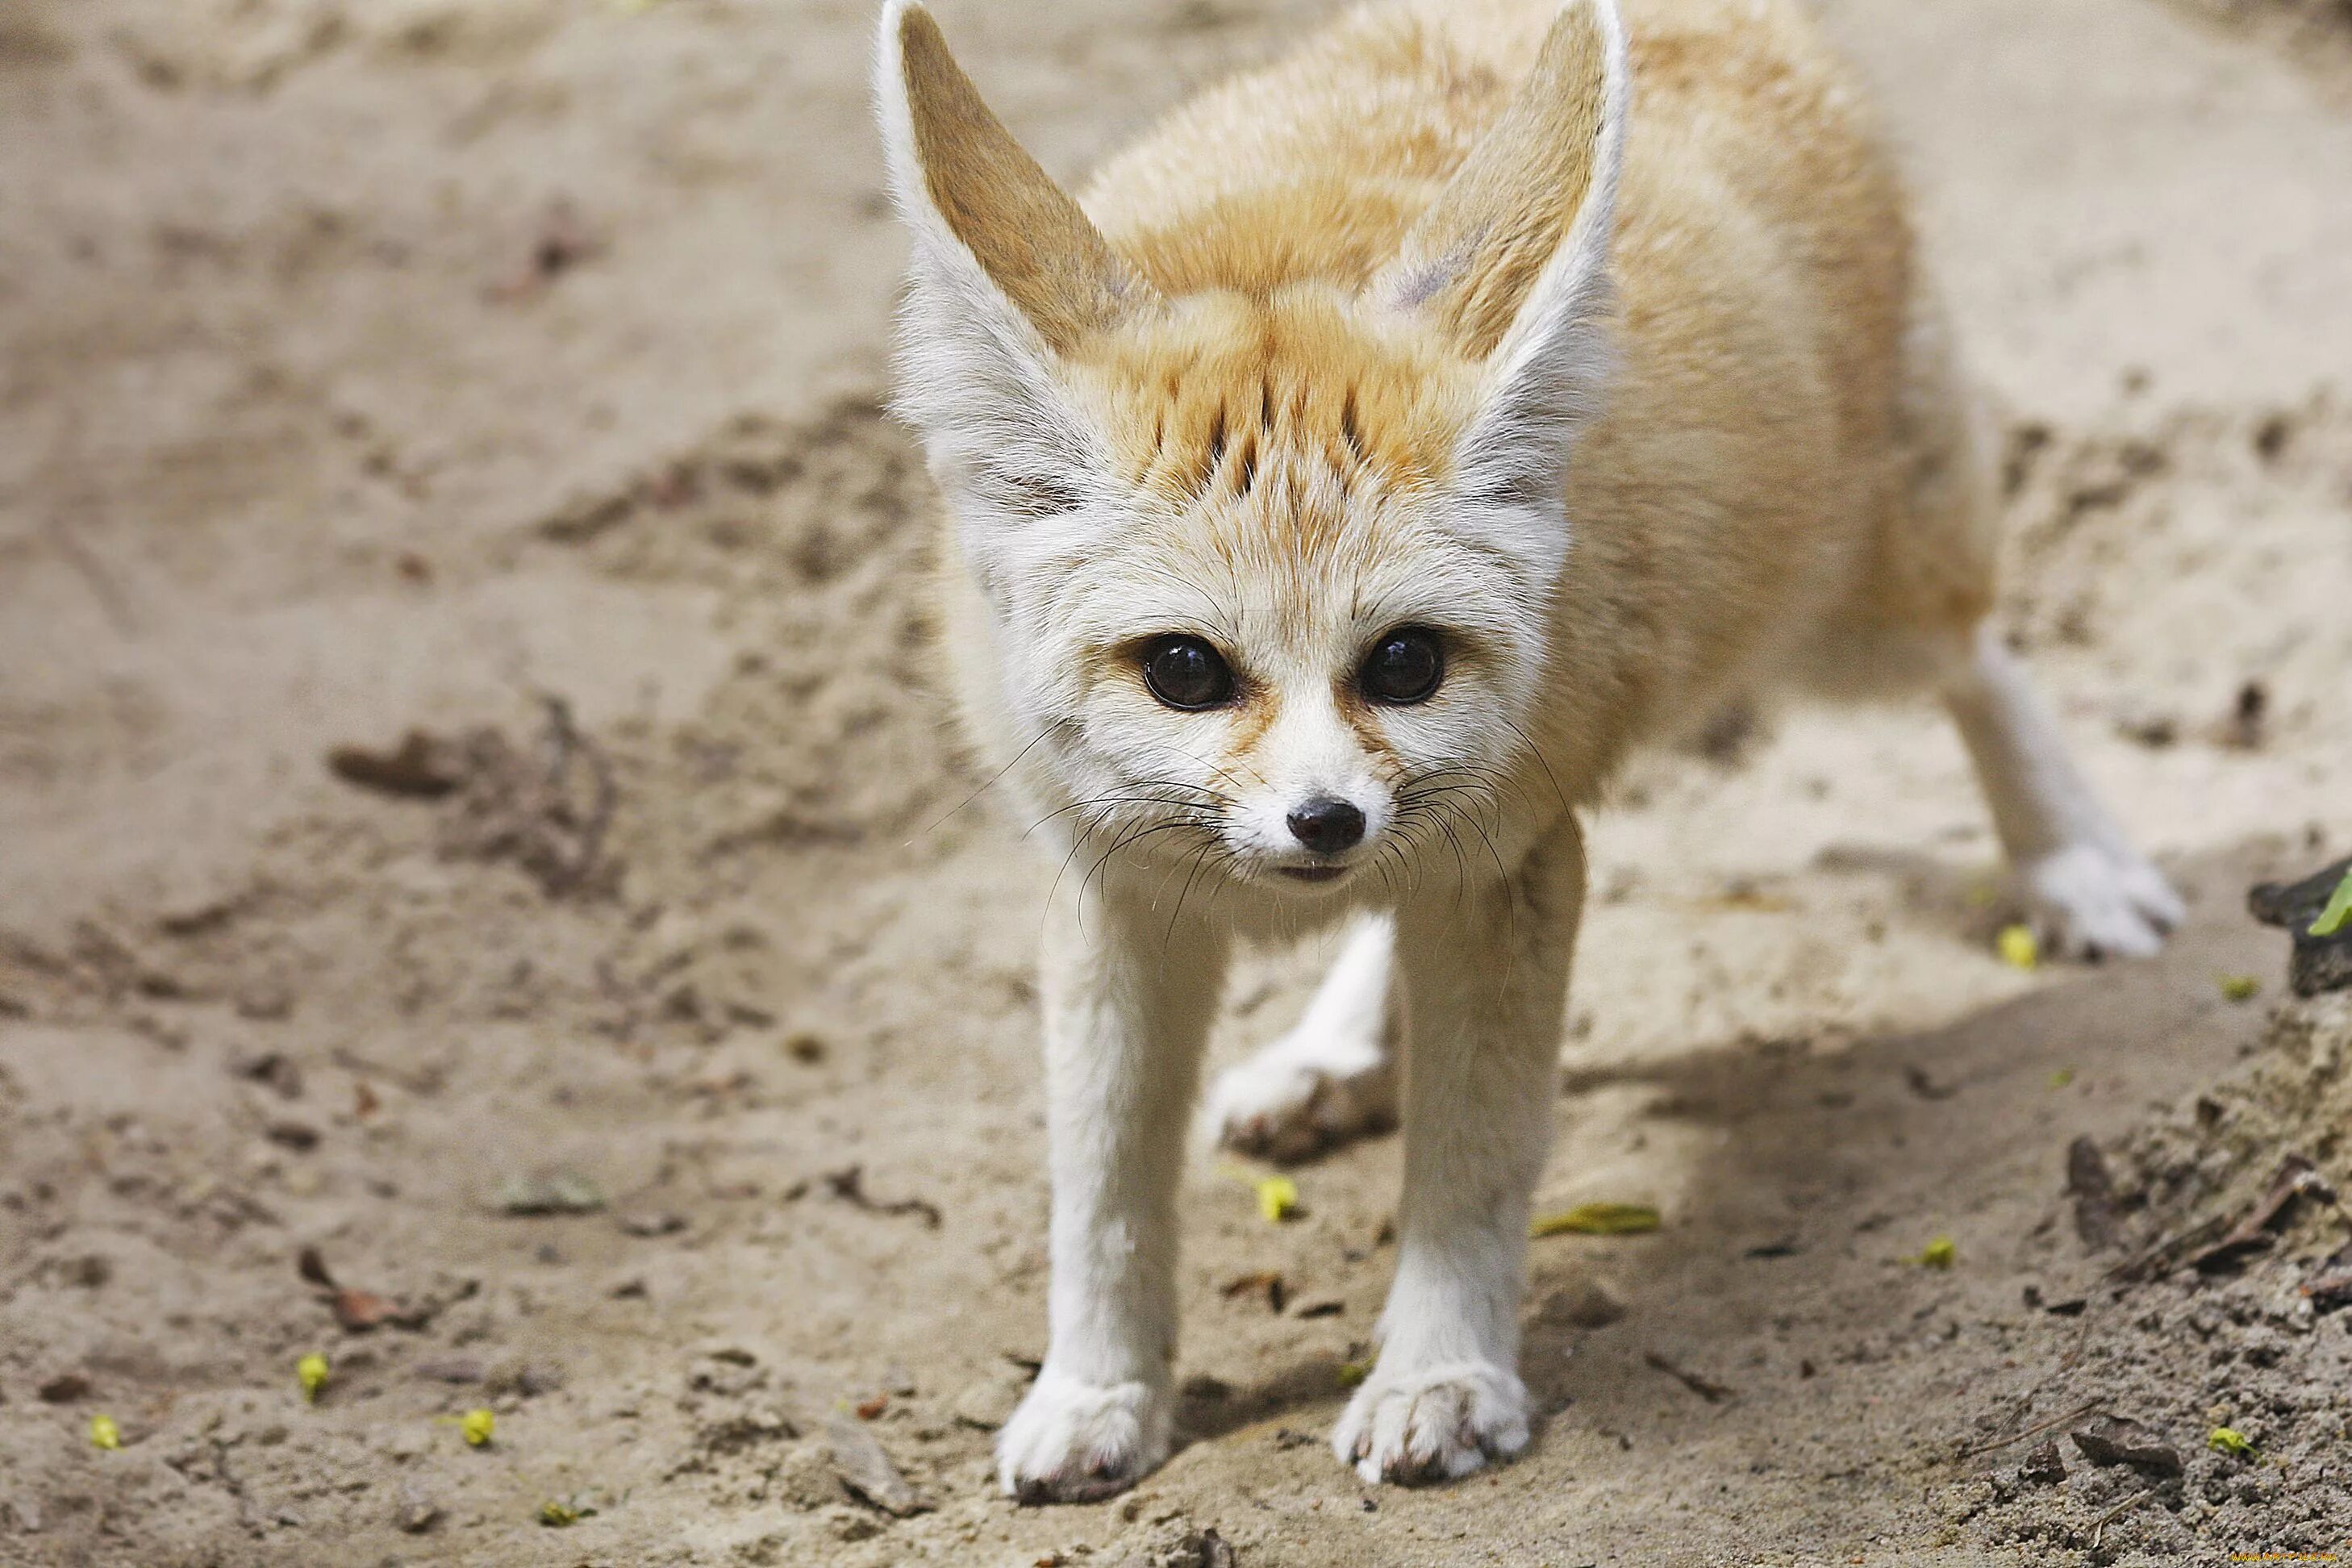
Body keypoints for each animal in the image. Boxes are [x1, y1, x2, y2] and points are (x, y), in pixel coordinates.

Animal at [874, 0, 2173, 1504]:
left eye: (1405, 663)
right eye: (1186, 671)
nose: (1322, 822)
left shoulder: (1509, 862)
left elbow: (1471, 1162)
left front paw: (1441, 1374)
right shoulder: (1117, 892)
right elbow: (1101, 1191)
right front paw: (1098, 1391)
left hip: (1853, 618)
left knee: (1981, 649)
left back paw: (2071, 860)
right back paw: (1332, 1049)